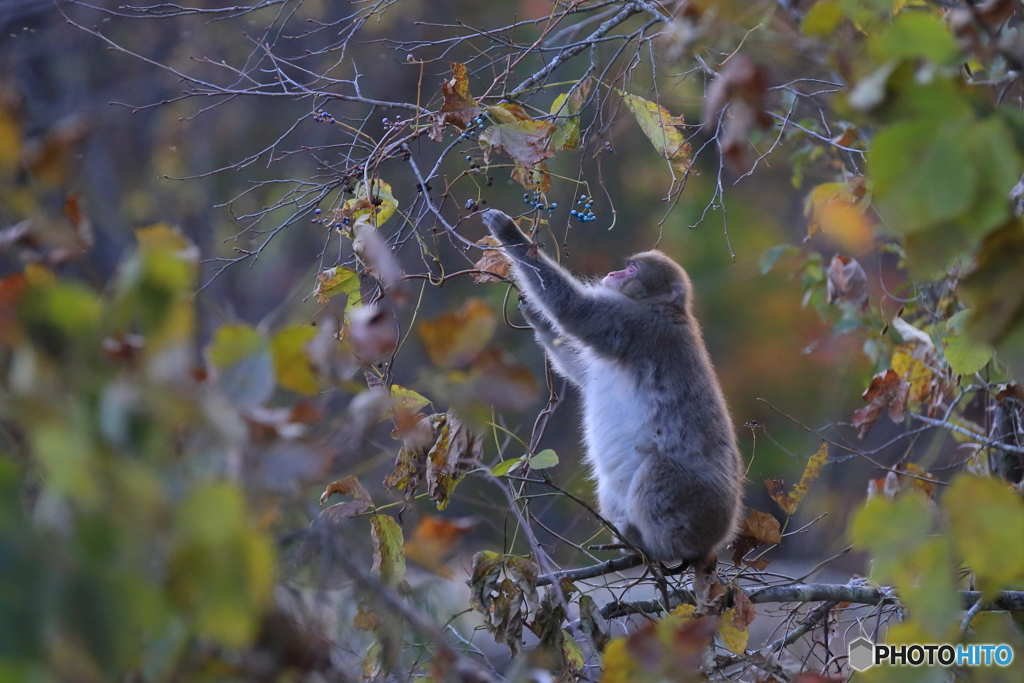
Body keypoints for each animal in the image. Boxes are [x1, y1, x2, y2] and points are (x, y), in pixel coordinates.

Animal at [481, 209, 745, 565]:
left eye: (632, 269)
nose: (613, 273)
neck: (661, 307)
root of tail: (716, 538)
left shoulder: (632, 322)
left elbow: (574, 310)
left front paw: (509, 233)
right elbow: (580, 370)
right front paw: (535, 315)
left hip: (692, 503)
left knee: (656, 473)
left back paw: (657, 545)